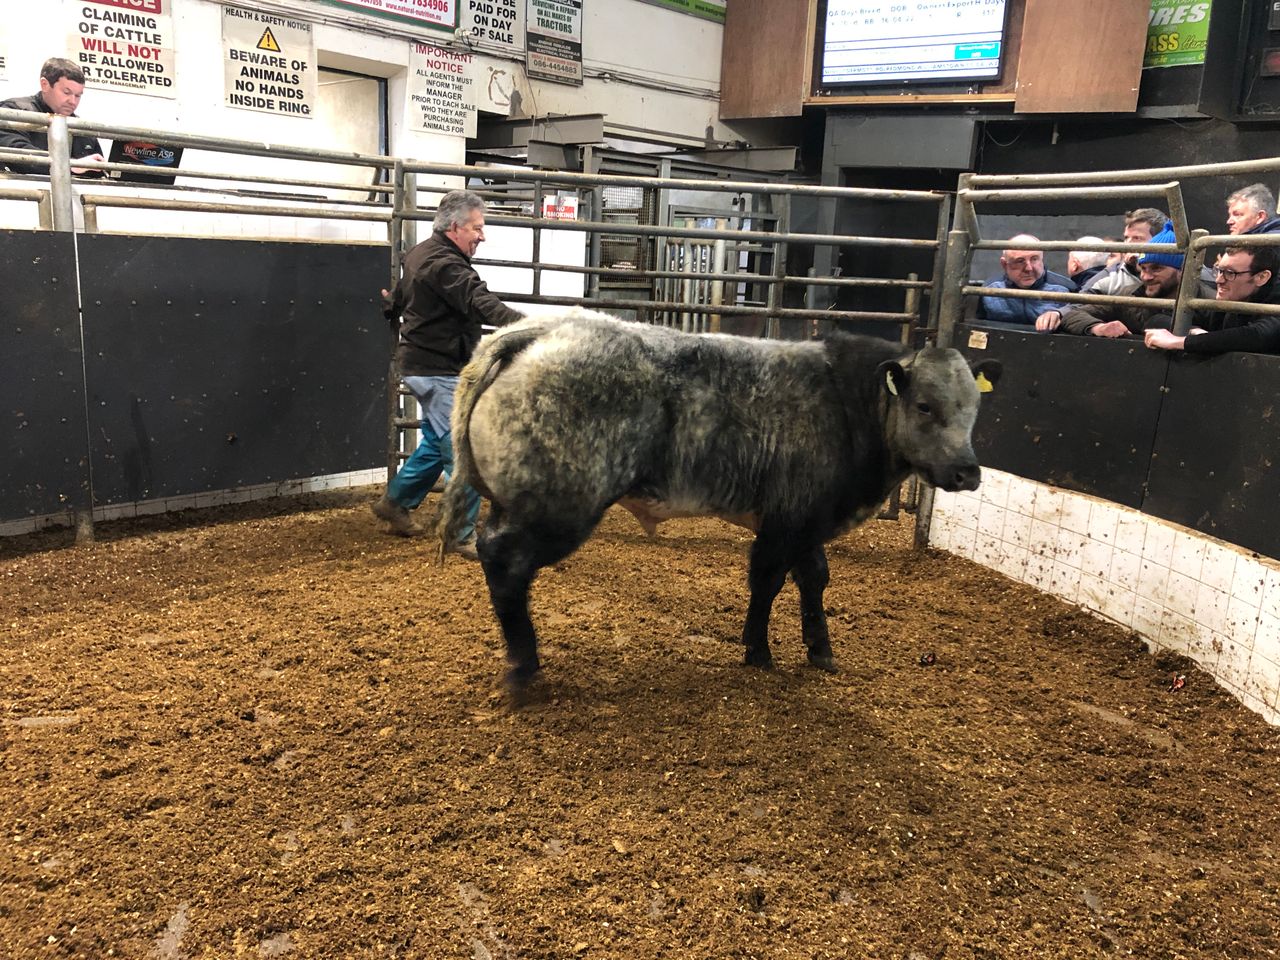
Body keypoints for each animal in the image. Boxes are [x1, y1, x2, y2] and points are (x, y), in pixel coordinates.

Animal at [436, 309, 1000, 691]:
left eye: (975, 405)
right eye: (924, 406)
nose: (968, 471)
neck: (845, 404)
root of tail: (541, 329)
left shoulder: (805, 519)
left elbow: (814, 579)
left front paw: (820, 649)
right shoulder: (786, 520)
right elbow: (768, 581)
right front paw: (758, 649)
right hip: (559, 508)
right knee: (505, 560)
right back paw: (523, 667)